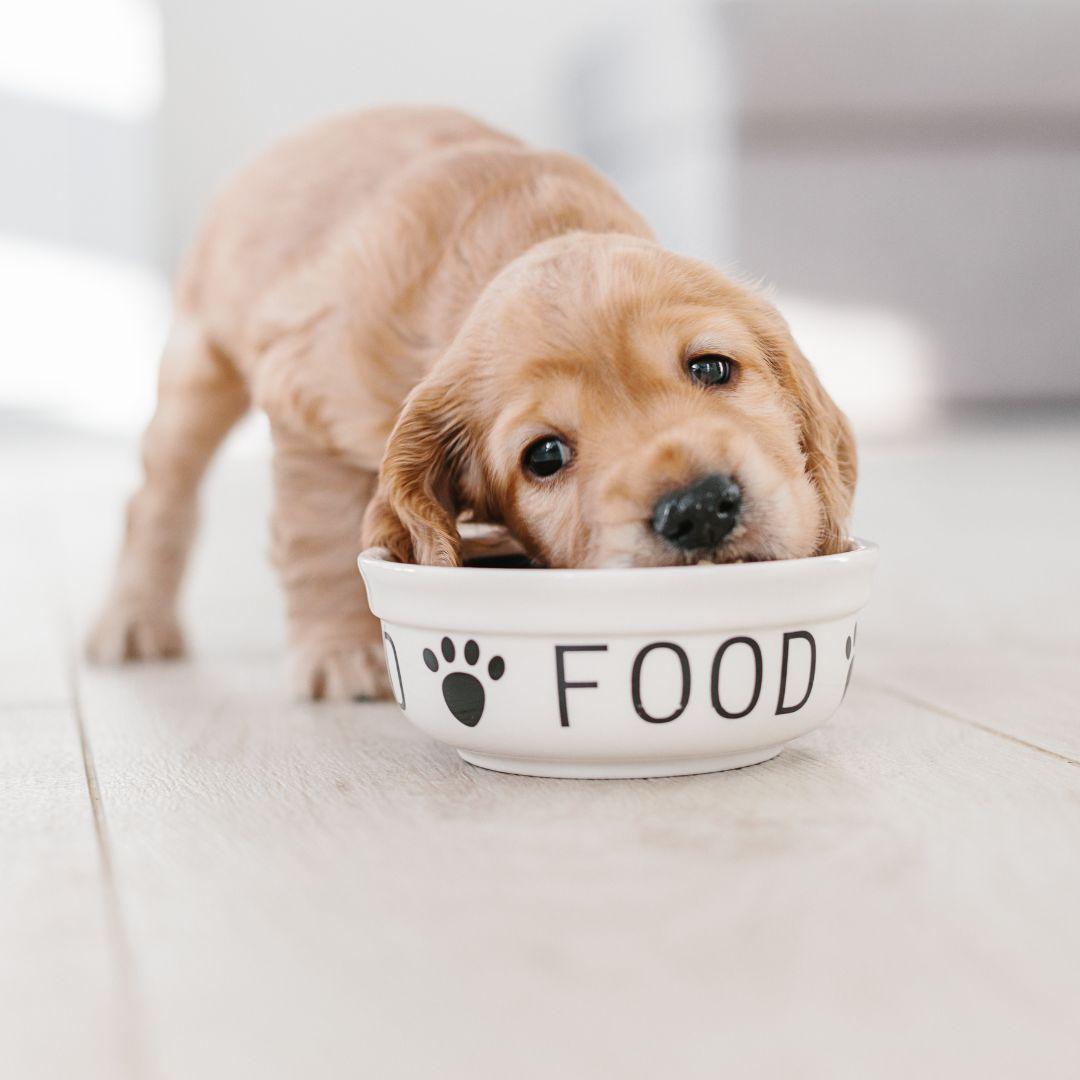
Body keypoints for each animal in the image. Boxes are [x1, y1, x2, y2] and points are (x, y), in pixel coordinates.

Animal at [88, 107, 855, 699]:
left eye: (712, 366)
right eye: (544, 455)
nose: (697, 509)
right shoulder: (308, 404)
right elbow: (321, 536)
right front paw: (338, 653)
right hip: (198, 367)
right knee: (157, 498)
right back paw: (133, 621)